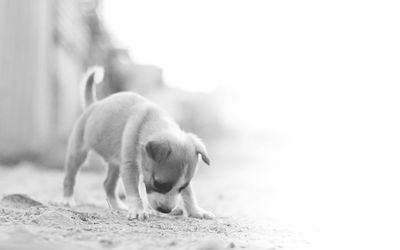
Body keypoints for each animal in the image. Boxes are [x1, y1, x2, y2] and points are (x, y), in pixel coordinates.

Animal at [62, 65, 214, 220]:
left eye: (182, 187)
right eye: (158, 184)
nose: (166, 211)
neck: (153, 121)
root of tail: (94, 105)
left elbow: (189, 195)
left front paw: (196, 211)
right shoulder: (130, 166)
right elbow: (134, 192)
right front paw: (137, 210)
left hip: (116, 164)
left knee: (107, 184)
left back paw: (117, 205)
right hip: (77, 154)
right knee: (70, 177)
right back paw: (67, 199)